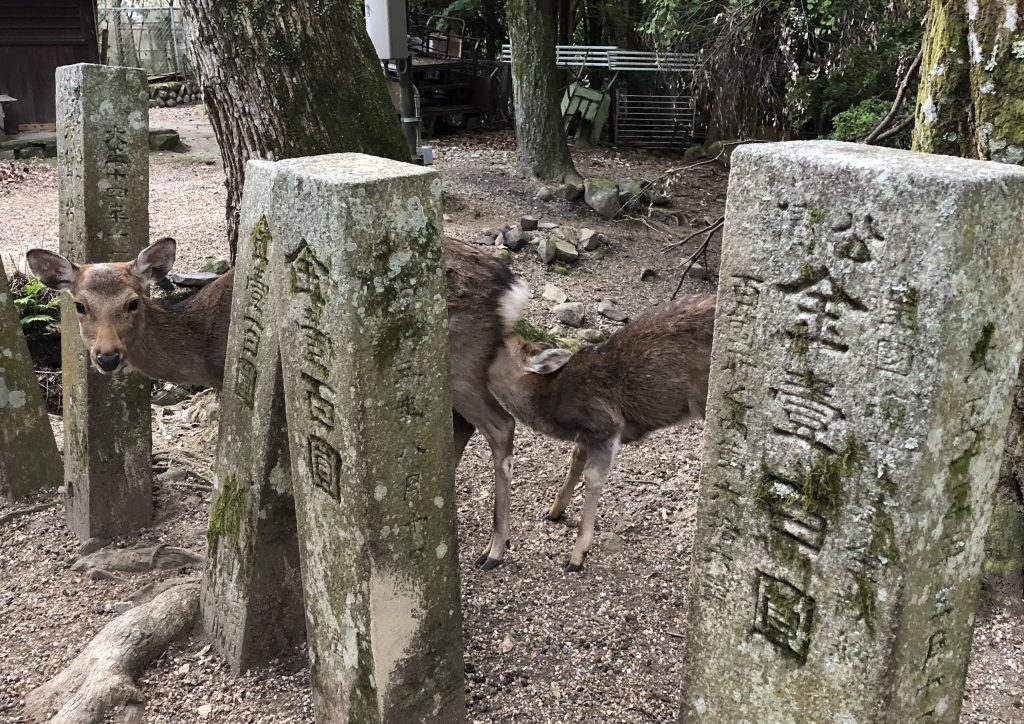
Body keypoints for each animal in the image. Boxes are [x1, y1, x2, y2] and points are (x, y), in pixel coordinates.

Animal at [27, 237, 528, 573]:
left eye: (133, 302)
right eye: (79, 305)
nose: (107, 357)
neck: (203, 346)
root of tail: (510, 288)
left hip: (461, 358)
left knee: (500, 425)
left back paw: (493, 550)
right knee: (462, 426)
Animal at [485, 292, 712, 573]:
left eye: (499, 343)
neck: (552, 403)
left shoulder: (605, 424)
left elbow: (593, 477)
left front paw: (577, 556)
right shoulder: (585, 433)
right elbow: (575, 459)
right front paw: (554, 511)